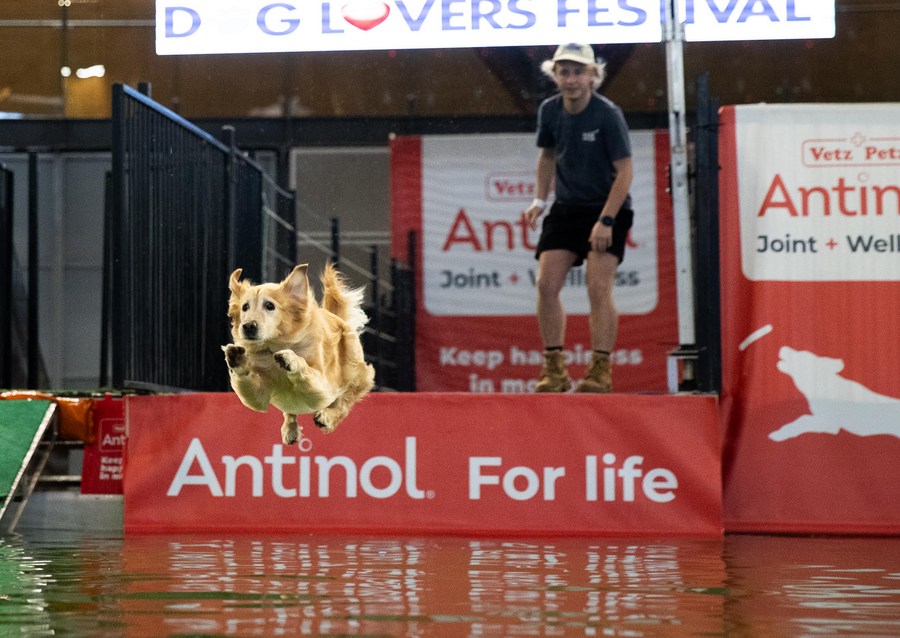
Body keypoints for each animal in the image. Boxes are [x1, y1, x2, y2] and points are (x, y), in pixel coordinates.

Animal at [223, 263, 375, 445]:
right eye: (245, 307)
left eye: (269, 306)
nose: (248, 326)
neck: (272, 347)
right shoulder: (260, 395)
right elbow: (254, 392)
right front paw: (237, 359)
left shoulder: (322, 387)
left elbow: (305, 369)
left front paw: (291, 358)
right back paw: (290, 429)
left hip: (353, 373)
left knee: (344, 402)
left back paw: (327, 418)